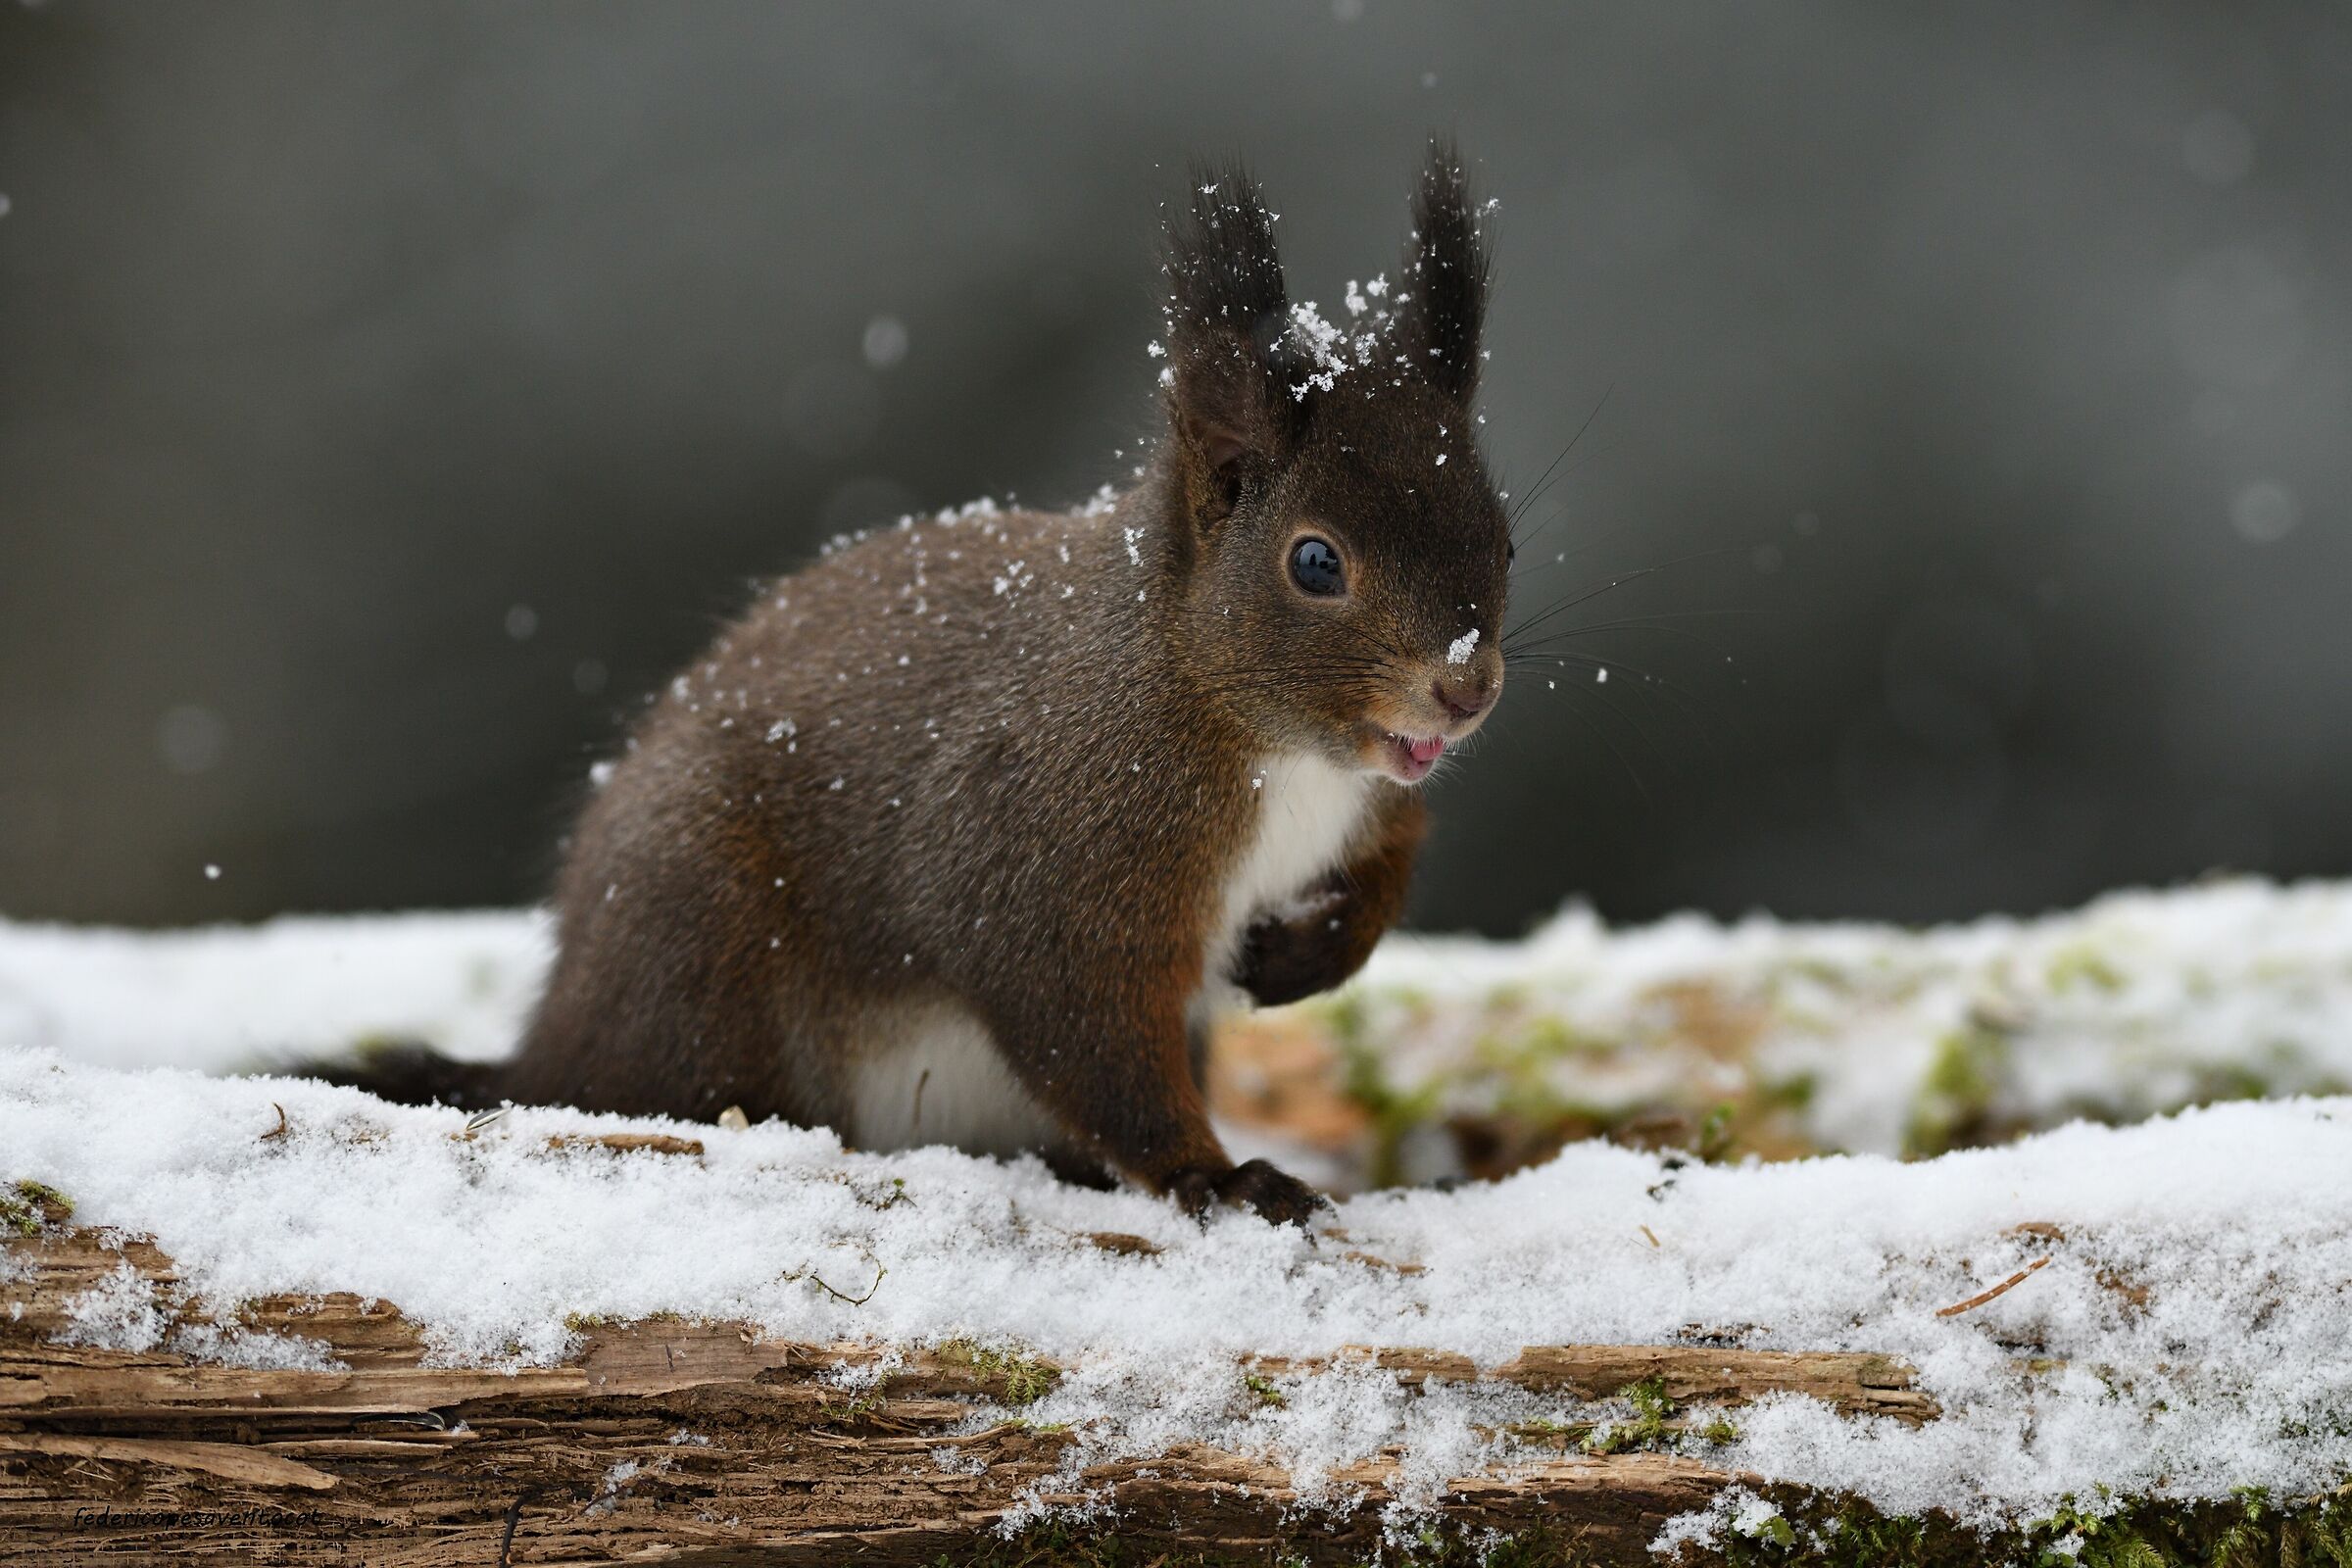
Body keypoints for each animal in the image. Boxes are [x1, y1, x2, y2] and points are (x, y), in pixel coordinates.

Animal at [334, 144, 1510, 1226]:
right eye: (1315, 562)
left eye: (1500, 534)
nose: (1468, 691)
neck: (1270, 740)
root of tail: (559, 1035)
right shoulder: (1047, 850)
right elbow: (1088, 1036)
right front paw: (1216, 1177)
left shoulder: (1367, 802)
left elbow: (1392, 863)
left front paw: (1305, 957)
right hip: (702, 941)